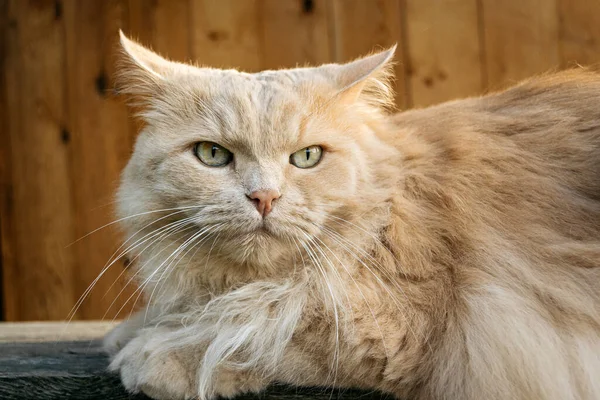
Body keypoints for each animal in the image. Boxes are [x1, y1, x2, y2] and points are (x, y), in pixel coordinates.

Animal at [104, 32, 600, 400]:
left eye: (306, 157)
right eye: (212, 154)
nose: (264, 197)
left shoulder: (402, 330)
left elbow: (260, 330)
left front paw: (157, 355)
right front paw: (134, 330)